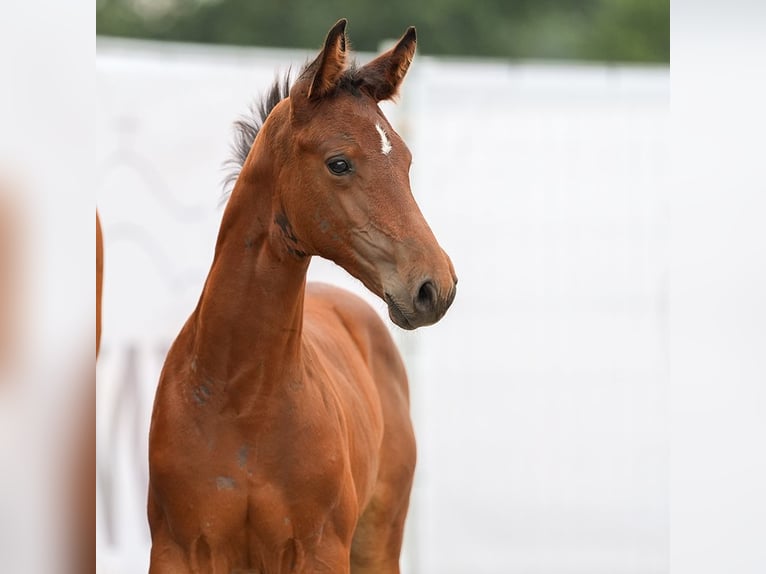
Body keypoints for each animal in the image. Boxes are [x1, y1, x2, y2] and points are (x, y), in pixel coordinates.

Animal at [148, 20, 456, 572]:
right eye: (339, 163)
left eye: (406, 160)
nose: (434, 286)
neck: (242, 397)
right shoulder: (175, 550)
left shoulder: (320, 551)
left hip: (378, 543)